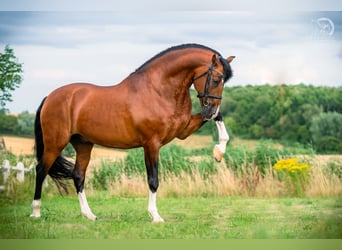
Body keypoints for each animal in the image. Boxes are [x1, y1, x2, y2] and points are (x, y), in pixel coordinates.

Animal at [30, 43, 234, 223]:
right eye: (216, 79)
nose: (210, 110)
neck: (158, 90)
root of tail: (50, 97)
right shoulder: (151, 144)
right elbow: (153, 180)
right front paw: (155, 216)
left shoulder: (183, 129)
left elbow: (220, 119)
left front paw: (219, 152)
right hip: (55, 143)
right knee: (41, 170)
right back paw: (36, 213)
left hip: (83, 145)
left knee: (78, 176)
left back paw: (89, 215)